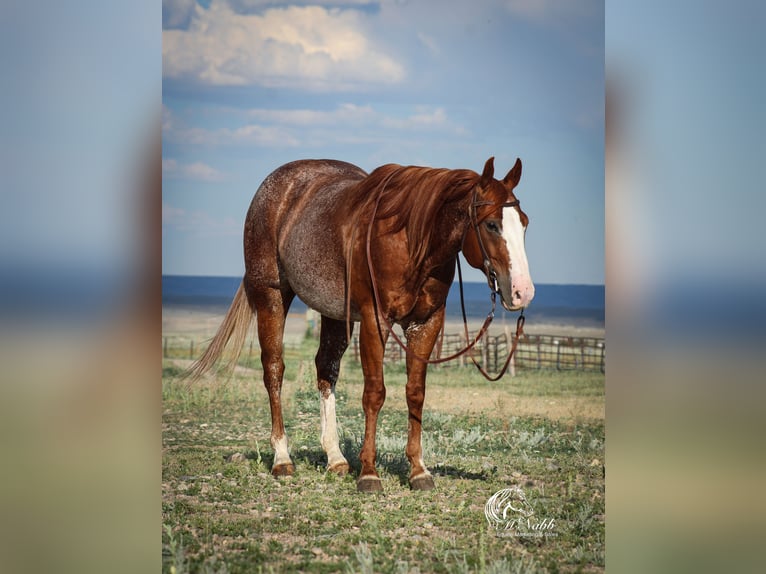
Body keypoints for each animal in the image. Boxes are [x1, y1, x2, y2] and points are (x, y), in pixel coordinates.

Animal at [188, 156, 534, 492]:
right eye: (491, 224)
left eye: (525, 224)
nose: (523, 292)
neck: (409, 239)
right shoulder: (374, 320)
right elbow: (374, 393)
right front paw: (369, 474)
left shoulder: (426, 323)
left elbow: (415, 393)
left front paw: (418, 470)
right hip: (271, 296)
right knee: (274, 370)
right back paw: (282, 458)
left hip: (334, 314)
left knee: (326, 369)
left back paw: (335, 457)